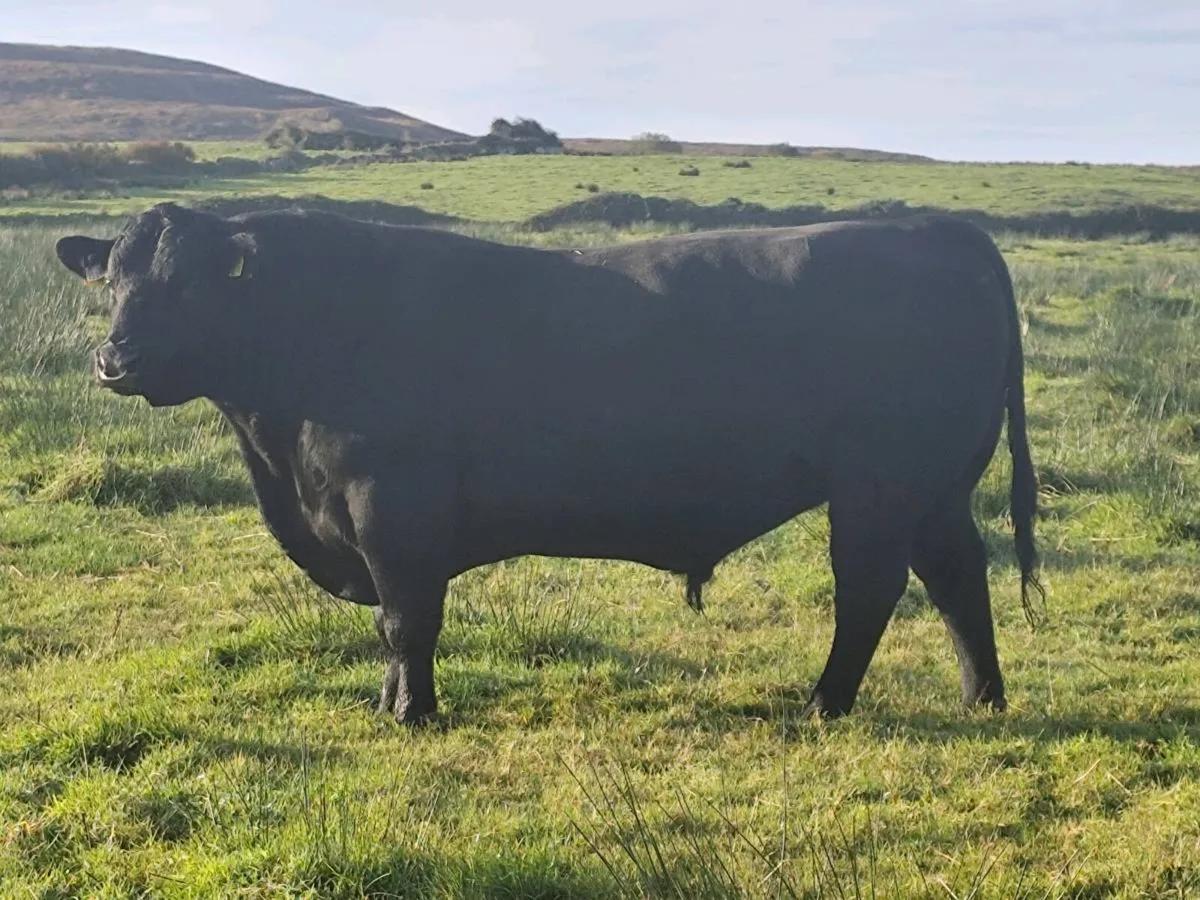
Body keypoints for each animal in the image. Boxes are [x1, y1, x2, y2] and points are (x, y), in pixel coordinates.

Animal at [54, 202, 1041, 726]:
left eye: (187, 282)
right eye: (112, 281)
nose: (115, 360)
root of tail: (933, 229)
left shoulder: (392, 506)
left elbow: (407, 620)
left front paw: (412, 713)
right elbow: (393, 626)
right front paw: (388, 704)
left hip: (879, 488)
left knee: (872, 590)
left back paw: (824, 704)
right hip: (932, 490)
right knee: (959, 579)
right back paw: (982, 698)